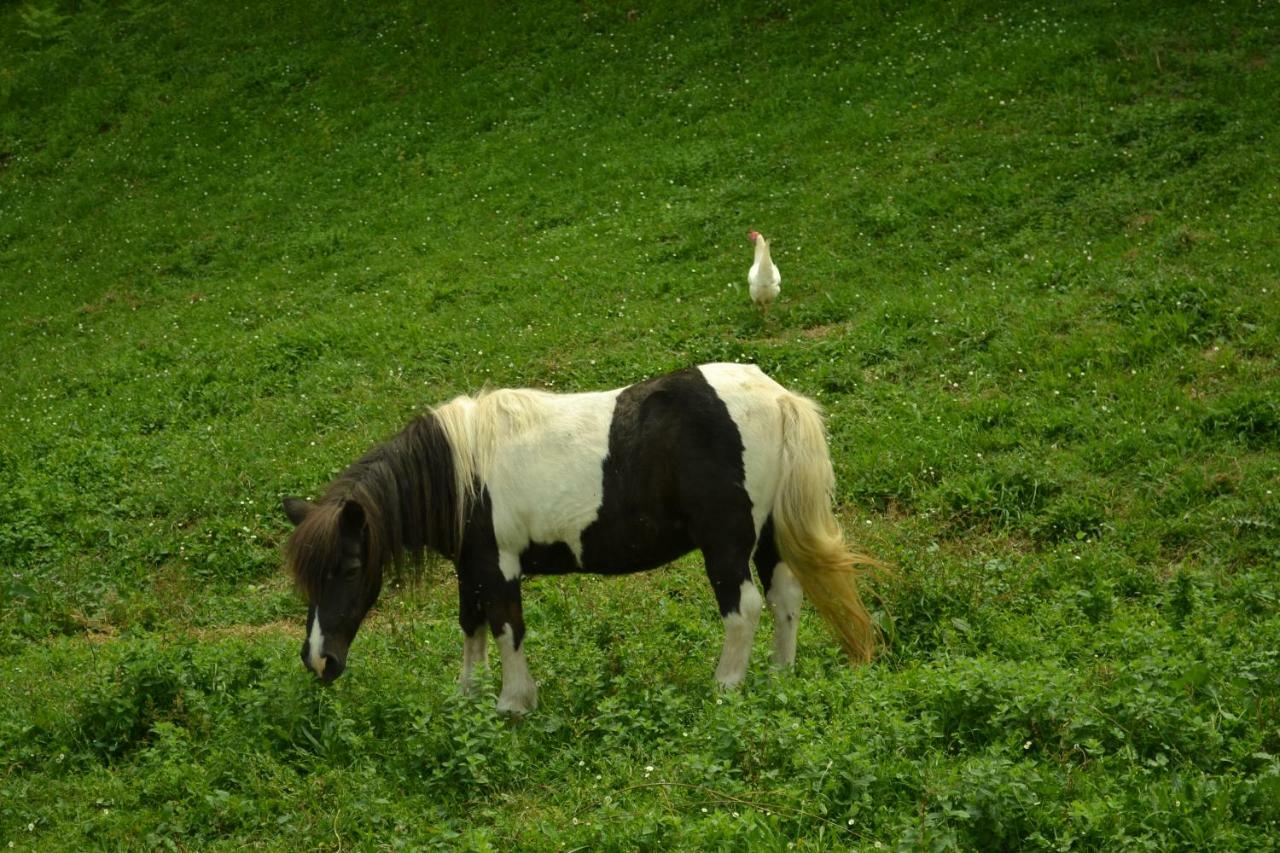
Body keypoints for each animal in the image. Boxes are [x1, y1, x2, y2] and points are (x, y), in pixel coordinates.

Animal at [284, 361, 875, 712]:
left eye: (350, 568)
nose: (319, 661)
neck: (462, 473)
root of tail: (776, 396)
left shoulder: (498, 566)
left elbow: (506, 628)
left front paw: (513, 704)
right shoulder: (472, 569)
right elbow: (472, 628)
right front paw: (466, 697)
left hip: (726, 544)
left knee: (744, 608)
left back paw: (726, 686)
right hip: (769, 534)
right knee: (784, 598)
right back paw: (778, 675)